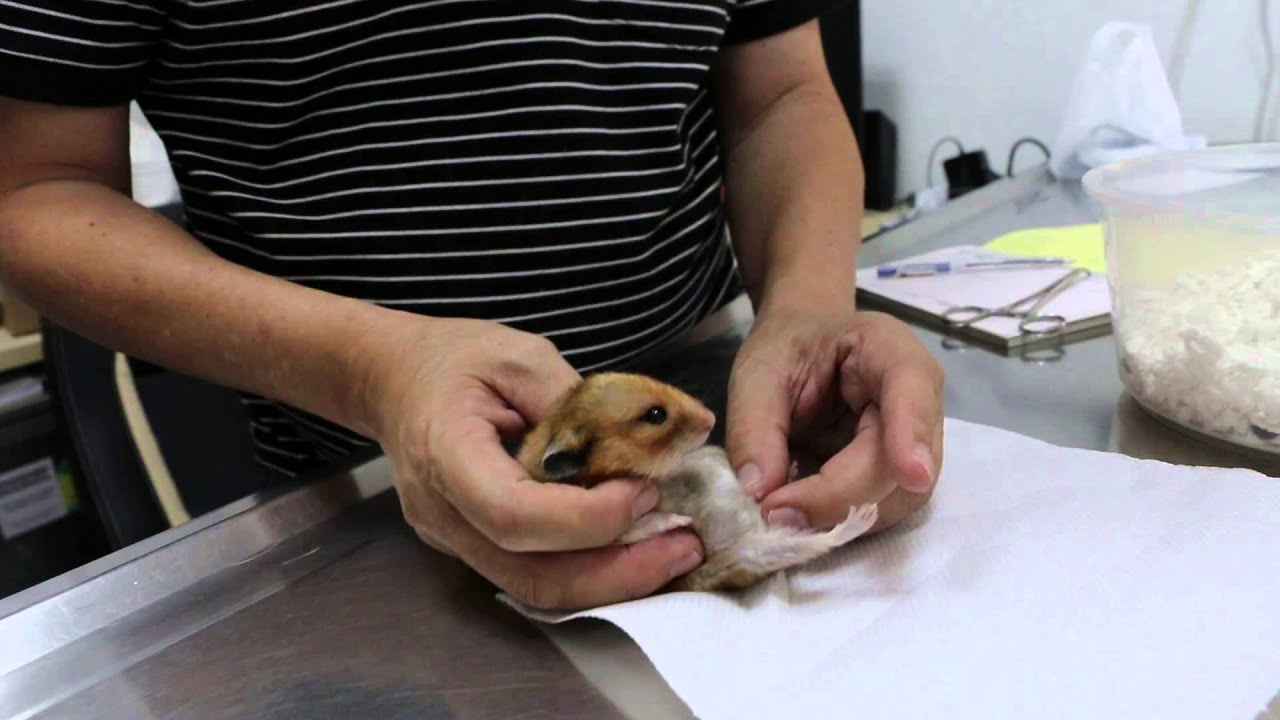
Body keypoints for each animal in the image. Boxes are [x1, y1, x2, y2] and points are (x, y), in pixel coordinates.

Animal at [515, 372, 878, 593]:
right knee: (823, 542)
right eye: (656, 415)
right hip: (753, 556)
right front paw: (682, 521)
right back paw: (863, 515)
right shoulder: (606, 534)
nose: (713, 419)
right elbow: (641, 523)